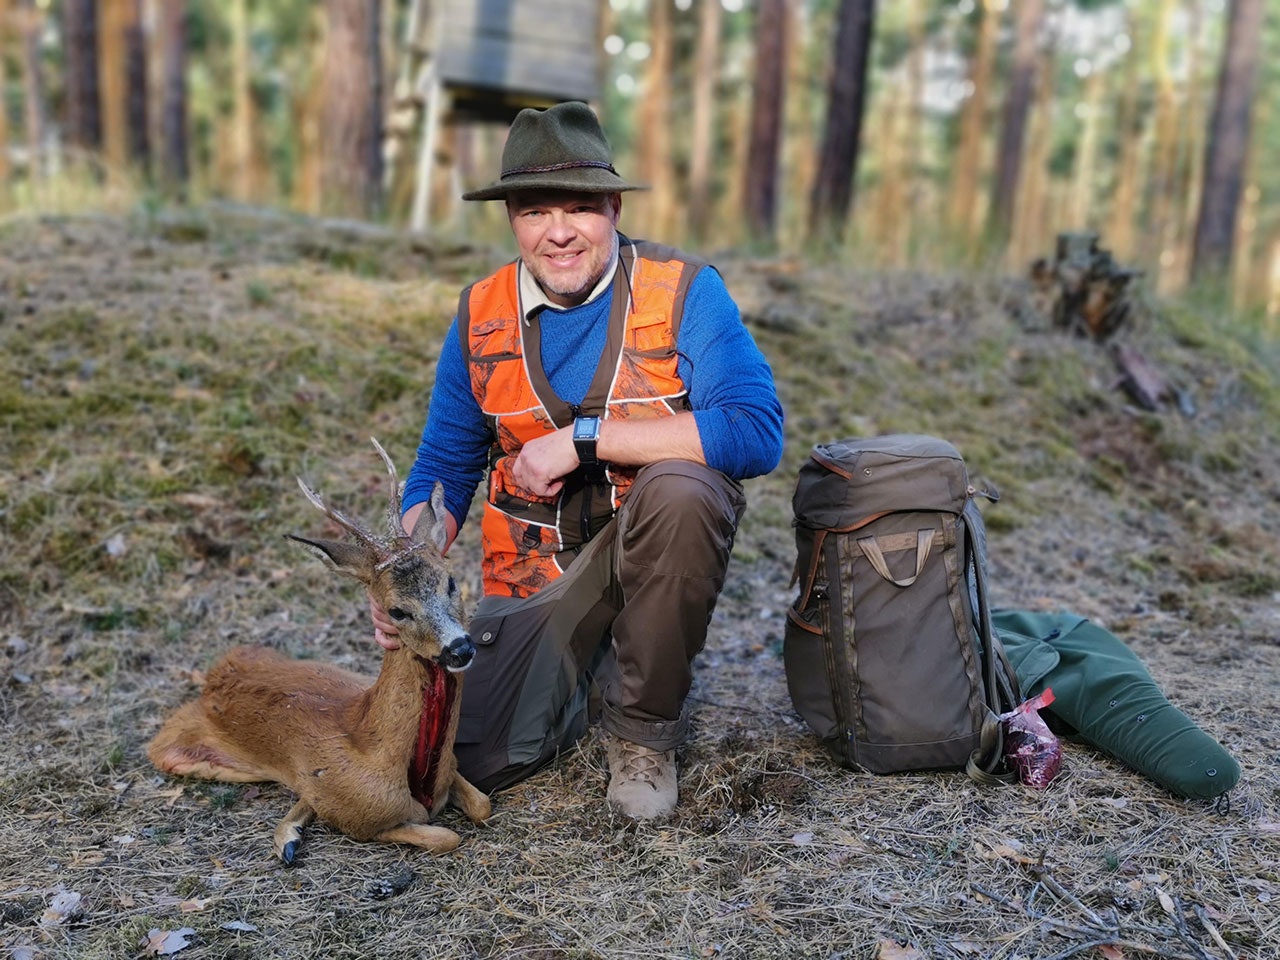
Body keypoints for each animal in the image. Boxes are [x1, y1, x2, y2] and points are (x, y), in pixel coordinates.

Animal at [147, 442, 488, 865]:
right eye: (396, 611)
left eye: (451, 582)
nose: (459, 647)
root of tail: (217, 671)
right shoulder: (362, 823)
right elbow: (445, 836)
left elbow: (482, 806)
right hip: (171, 749)